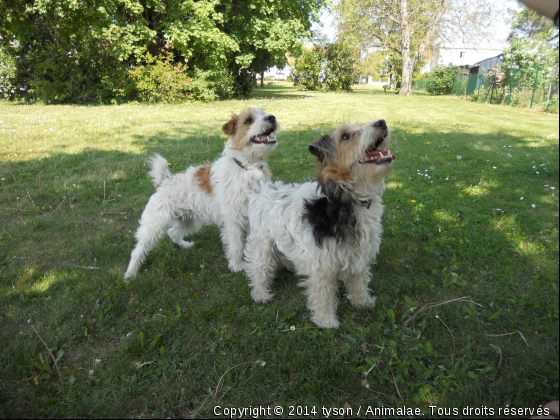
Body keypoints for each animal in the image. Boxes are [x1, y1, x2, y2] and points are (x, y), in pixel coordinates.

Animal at [124, 108, 278, 278]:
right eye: (248, 120)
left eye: (263, 112)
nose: (272, 117)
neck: (248, 169)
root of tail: (164, 180)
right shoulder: (233, 220)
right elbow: (236, 245)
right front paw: (237, 266)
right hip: (155, 224)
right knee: (138, 250)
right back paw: (130, 274)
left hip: (189, 219)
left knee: (173, 233)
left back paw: (185, 245)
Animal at [244, 118, 394, 328]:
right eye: (345, 136)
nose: (382, 122)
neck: (346, 199)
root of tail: (263, 190)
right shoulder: (323, 265)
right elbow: (323, 295)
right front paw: (326, 321)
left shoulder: (359, 254)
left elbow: (359, 281)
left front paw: (362, 302)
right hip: (262, 245)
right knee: (259, 269)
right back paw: (260, 294)